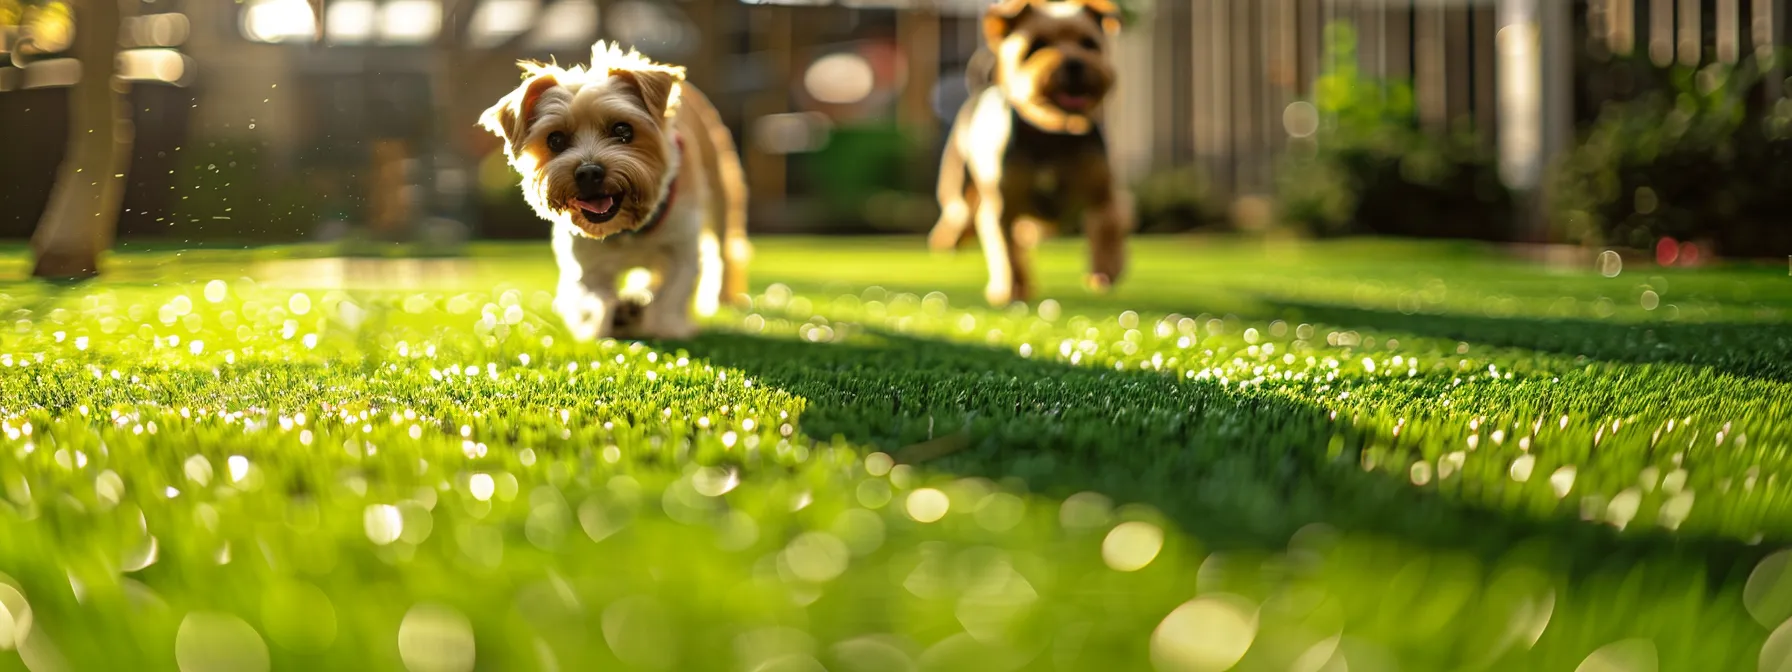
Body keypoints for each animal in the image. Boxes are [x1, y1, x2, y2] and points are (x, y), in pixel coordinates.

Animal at [480, 42, 745, 342]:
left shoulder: (682, 248)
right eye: (555, 139)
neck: (628, 230)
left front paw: (667, 326)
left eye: (622, 129)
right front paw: (611, 318)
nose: (588, 172)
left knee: (723, 251)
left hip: (721, 193)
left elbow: (673, 292)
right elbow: (589, 296)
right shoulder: (586, 265)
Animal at [931, 0, 1125, 308]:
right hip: (958, 184)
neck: (1052, 132)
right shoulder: (1001, 210)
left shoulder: (1104, 194)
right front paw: (1009, 289)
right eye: (1037, 45)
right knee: (961, 216)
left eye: (1089, 44)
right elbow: (1006, 253)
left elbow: (1109, 225)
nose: (1074, 63)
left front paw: (1105, 269)